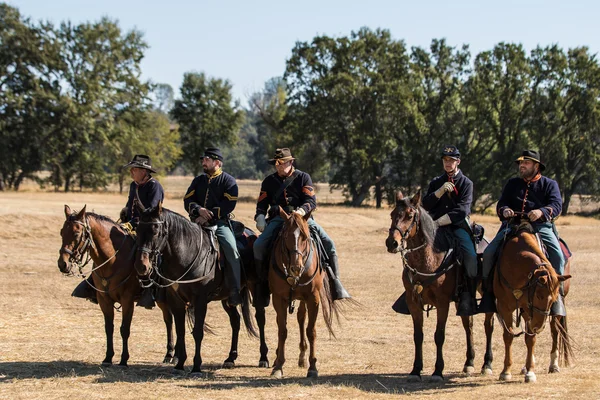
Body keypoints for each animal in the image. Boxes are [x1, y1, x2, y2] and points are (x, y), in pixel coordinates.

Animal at [57, 205, 175, 368]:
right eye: (62, 232)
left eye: (76, 233)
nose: (63, 264)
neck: (112, 259)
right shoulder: (104, 300)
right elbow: (109, 328)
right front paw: (108, 357)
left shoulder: (127, 300)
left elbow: (124, 329)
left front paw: (124, 359)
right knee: (168, 319)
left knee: (170, 320)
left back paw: (172, 354)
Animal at [135, 205, 268, 374]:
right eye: (138, 229)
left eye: (156, 231)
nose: (141, 266)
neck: (187, 254)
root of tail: (252, 235)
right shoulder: (176, 301)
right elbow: (180, 330)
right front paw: (179, 363)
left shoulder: (200, 300)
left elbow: (198, 332)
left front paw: (196, 366)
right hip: (227, 297)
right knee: (235, 320)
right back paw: (230, 358)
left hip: (255, 287)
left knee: (260, 318)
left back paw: (263, 357)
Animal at [268, 208, 338, 380]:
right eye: (285, 236)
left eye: (305, 237)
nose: (296, 267)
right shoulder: (278, 299)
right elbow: (282, 330)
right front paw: (278, 366)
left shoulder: (313, 298)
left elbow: (310, 331)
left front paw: (313, 367)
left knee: (301, 318)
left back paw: (302, 356)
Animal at [386, 191, 494, 382]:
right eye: (392, 214)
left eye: (410, 215)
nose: (392, 243)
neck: (428, 259)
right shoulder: (413, 303)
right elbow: (418, 336)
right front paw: (416, 370)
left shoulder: (443, 303)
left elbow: (439, 335)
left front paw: (438, 371)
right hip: (462, 301)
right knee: (468, 324)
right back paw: (469, 362)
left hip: (485, 292)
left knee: (488, 325)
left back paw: (486, 364)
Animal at [494, 220, 576, 382]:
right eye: (539, 295)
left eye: (553, 298)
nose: (539, 326)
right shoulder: (505, 307)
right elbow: (509, 336)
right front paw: (506, 371)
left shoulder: (528, 309)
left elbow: (530, 338)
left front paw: (530, 373)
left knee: (555, 331)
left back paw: (553, 365)